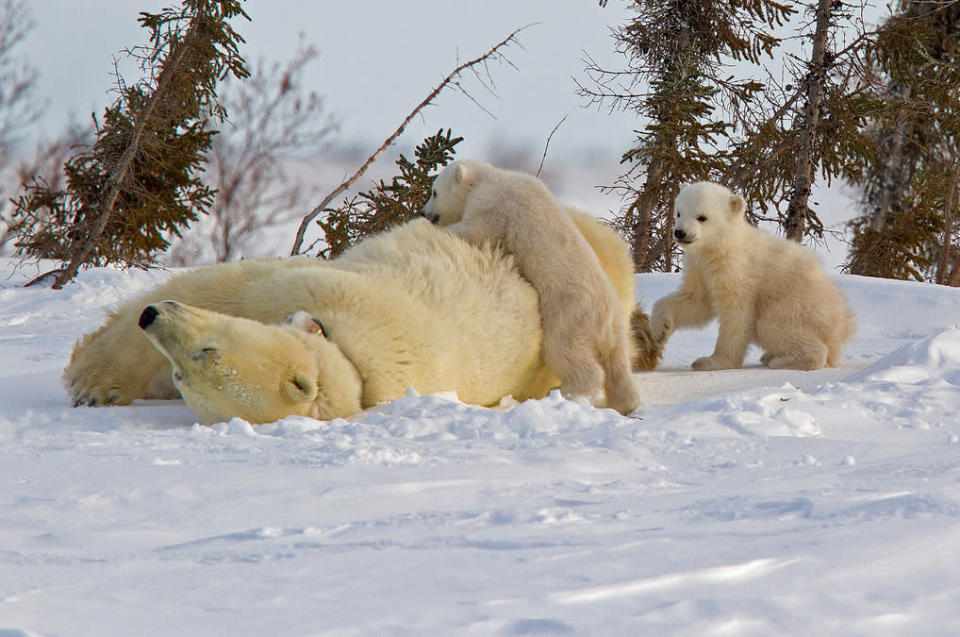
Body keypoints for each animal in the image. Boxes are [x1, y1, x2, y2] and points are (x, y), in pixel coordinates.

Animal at [63, 214, 640, 422]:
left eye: (205, 356)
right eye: (183, 374)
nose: (152, 318)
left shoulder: (335, 295)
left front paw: (91, 381)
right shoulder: (310, 287)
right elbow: (224, 286)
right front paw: (98, 382)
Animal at [424, 161, 640, 414]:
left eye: (434, 192)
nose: (425, 213)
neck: (486, 178)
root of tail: (607, 320)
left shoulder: (494, 203)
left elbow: (478, 229)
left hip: (570, 314)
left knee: (565, 351)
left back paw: (567, 392)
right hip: (616, 329)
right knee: (618, 363)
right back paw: (626, 402)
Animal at [652, 181, 856, 370]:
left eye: (702, 217)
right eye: (679, 213)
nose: (680, 232)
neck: (720, 247)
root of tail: (843, 326)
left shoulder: (737, 269)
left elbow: (736, 312)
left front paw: (711, 362)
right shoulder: (699, 267)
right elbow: (696, 300)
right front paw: (660, 329)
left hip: (798, 306)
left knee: (772, 326)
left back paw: (781, 360)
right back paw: (771, 356)